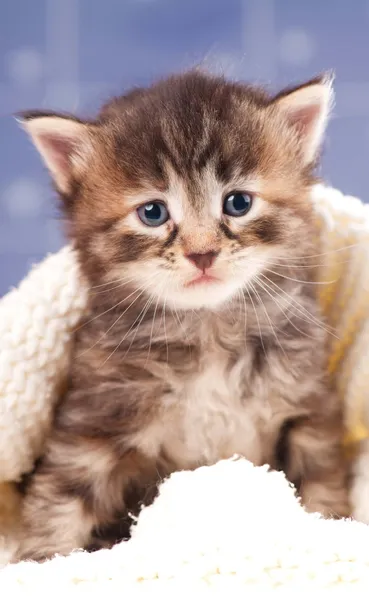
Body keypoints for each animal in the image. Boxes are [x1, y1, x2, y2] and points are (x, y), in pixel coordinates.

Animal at [15, 71, 348, 564]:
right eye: (153, 213)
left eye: (238, 203)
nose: (202, 253)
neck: (208, 329)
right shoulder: (93, 418)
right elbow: (60, 496)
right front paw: (42, 561)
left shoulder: (308, 407)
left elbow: (321, 484)